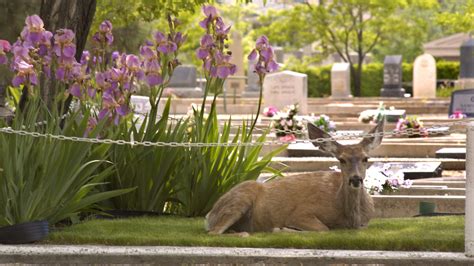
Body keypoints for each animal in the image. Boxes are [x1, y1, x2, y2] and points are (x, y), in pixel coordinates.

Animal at [205, 119, 386, 235]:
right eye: (341, 159)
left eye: (366, 158)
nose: (355, 179)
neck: (350, 218)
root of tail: (209, 215)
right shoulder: (301, 212)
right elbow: (324, 229)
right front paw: (282, 229)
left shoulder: (365, 223)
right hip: (239, 199)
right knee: (214, 232)